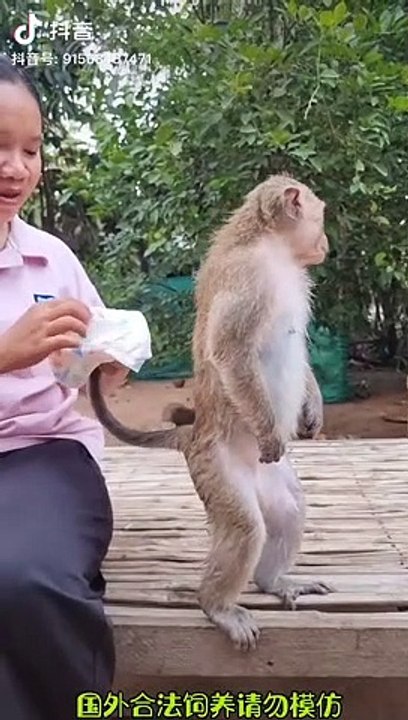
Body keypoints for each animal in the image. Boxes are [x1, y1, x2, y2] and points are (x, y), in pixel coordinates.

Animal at [88, 173, 334, 652]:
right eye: (321, 217)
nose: (327, 242)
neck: (270, 246)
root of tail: (195, 430)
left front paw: (313, 405)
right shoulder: (248, 278)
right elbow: (230, 352)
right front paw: (272, 431)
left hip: (266, 478)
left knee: (289, 509)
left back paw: (272, 581)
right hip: (215, 467)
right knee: (245, 527)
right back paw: (217, 605)